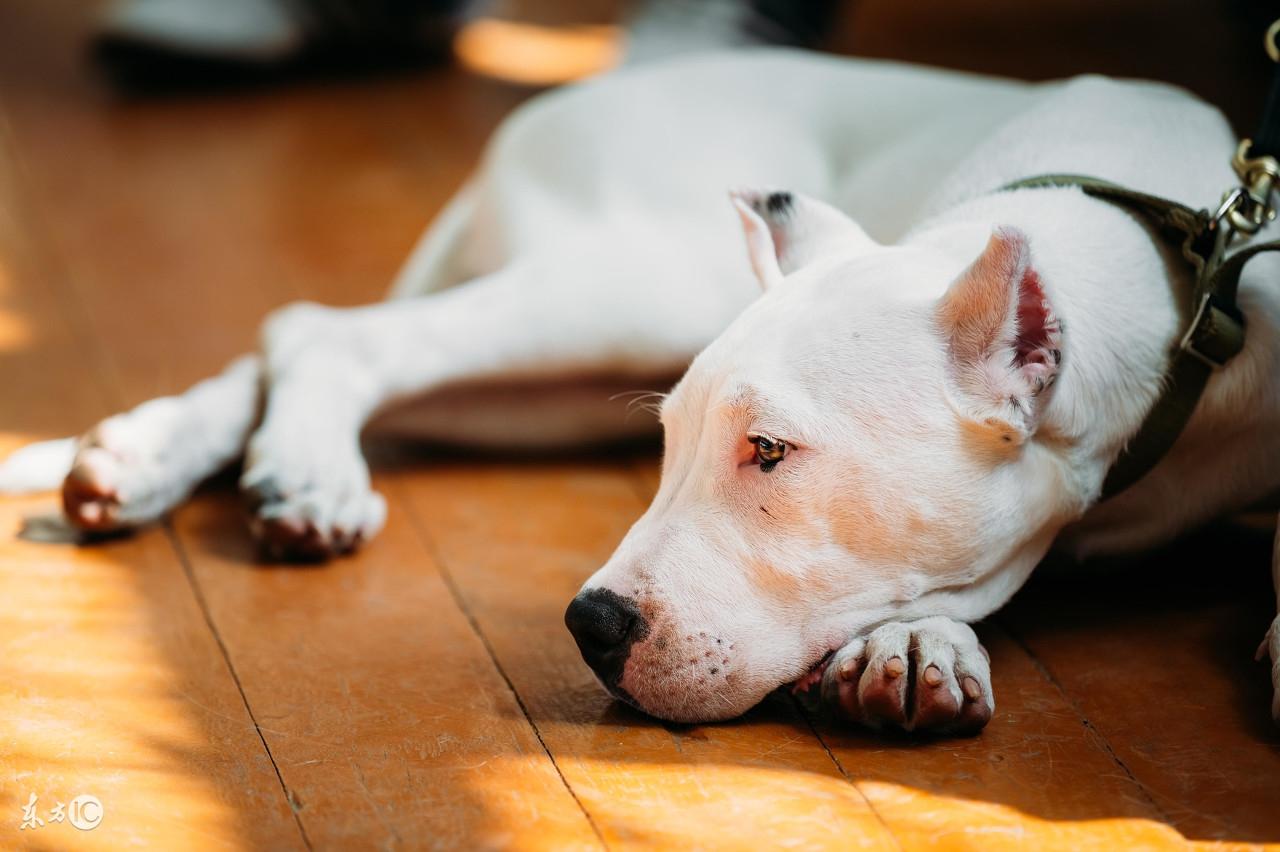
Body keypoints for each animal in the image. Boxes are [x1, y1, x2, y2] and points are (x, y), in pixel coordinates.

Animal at [7, 51, 1280, 731]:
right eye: (668, 448)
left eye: (769, 452)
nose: (589, 628)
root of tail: (563, 98)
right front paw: (921, 640)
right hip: (639, 283)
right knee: (325, 331)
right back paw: (292, 470)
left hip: (569, 370)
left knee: (307, 343)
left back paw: (157, 457)